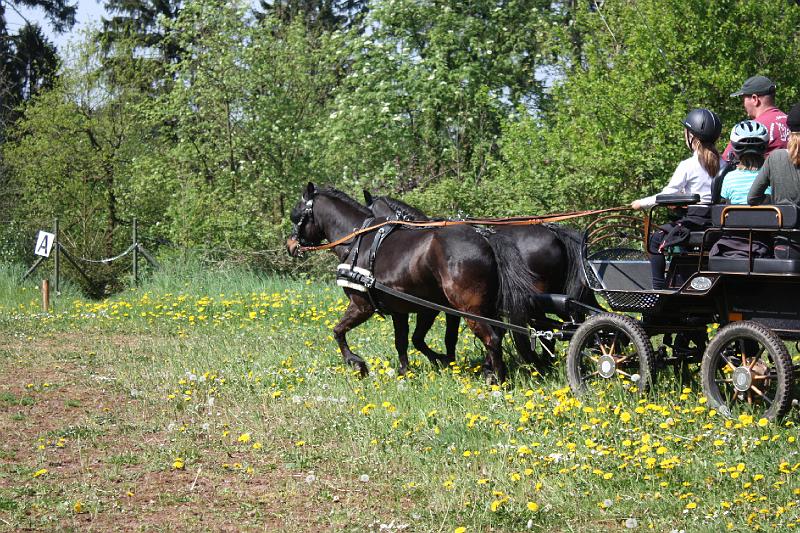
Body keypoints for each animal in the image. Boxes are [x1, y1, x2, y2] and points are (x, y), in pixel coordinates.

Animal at [284, 182, 540, 378]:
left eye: (296, 216)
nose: (290, 245)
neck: (358, 241)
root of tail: (484, 236)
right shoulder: (407, 309)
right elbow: (405, 341)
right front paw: (407, 370)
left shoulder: (362, 305)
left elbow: (337, 331)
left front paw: (357, 363)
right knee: (498, 334)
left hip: (470, 309)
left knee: (492, 339)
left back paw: (497, 379)